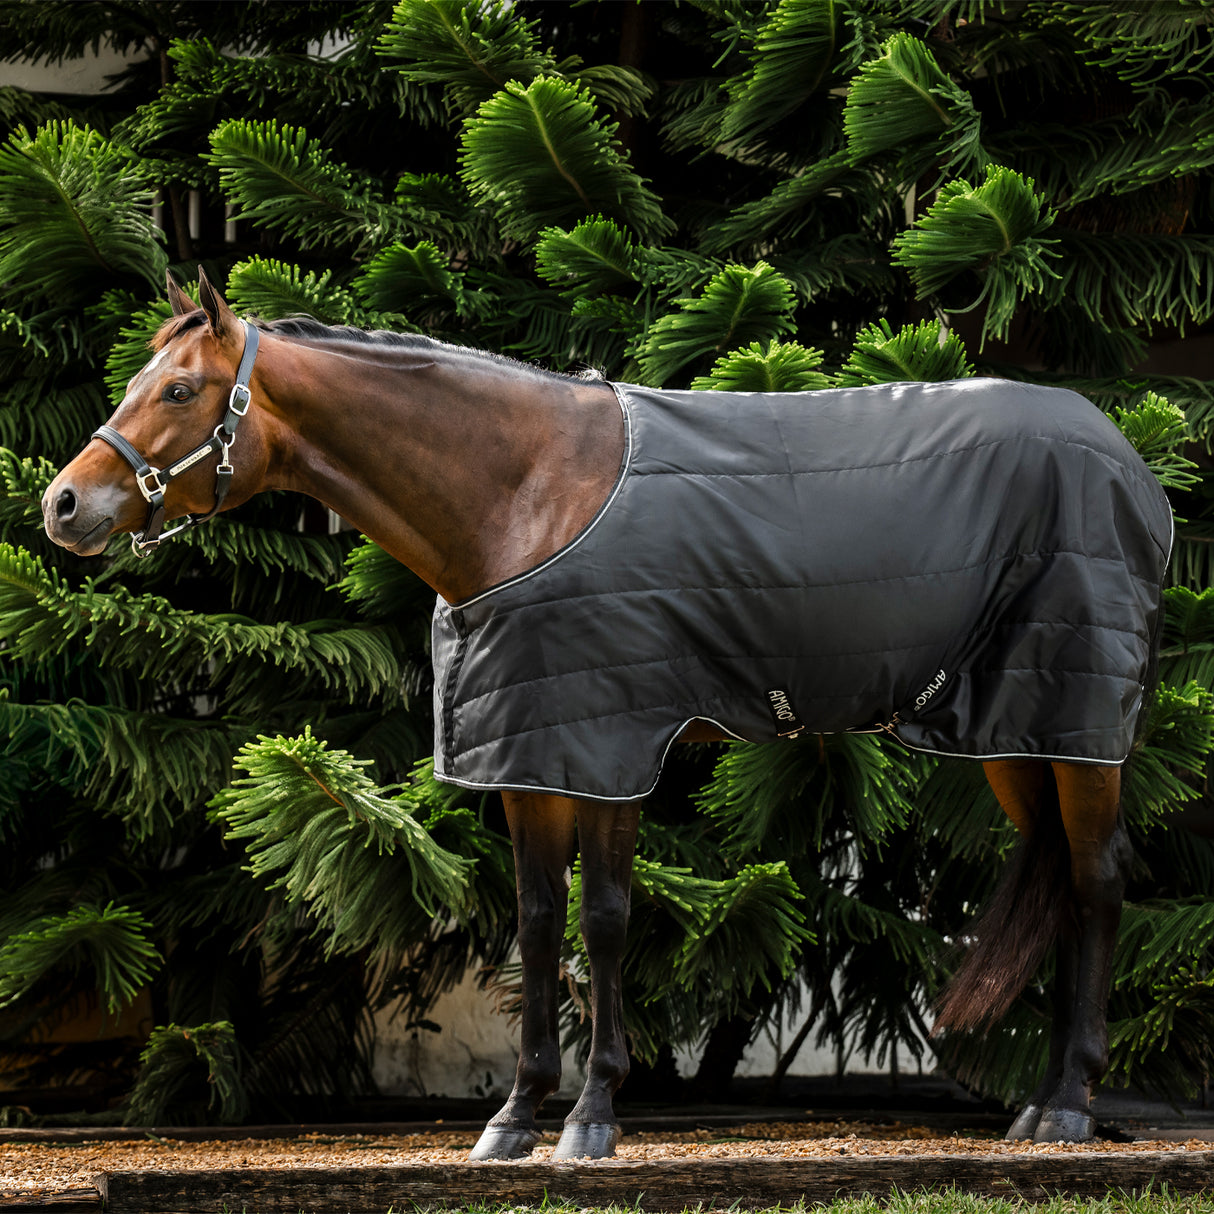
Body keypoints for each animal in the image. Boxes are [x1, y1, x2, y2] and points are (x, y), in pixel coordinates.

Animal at [42, 270, 1172, 1158]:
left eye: (179, 389)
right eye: (136, 383)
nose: (62, 505)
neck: (525, 494)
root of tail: (1130, 464)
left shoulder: (613, 744)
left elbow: (606, 917)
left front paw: (591, 1116)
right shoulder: (531, 754)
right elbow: (539, 922)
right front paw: (514, 1115)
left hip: (1078, 725)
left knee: (1099, 878)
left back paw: (1068, 1105)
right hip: (1019, 733)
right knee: (1062, 878)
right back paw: (1041, 1102)